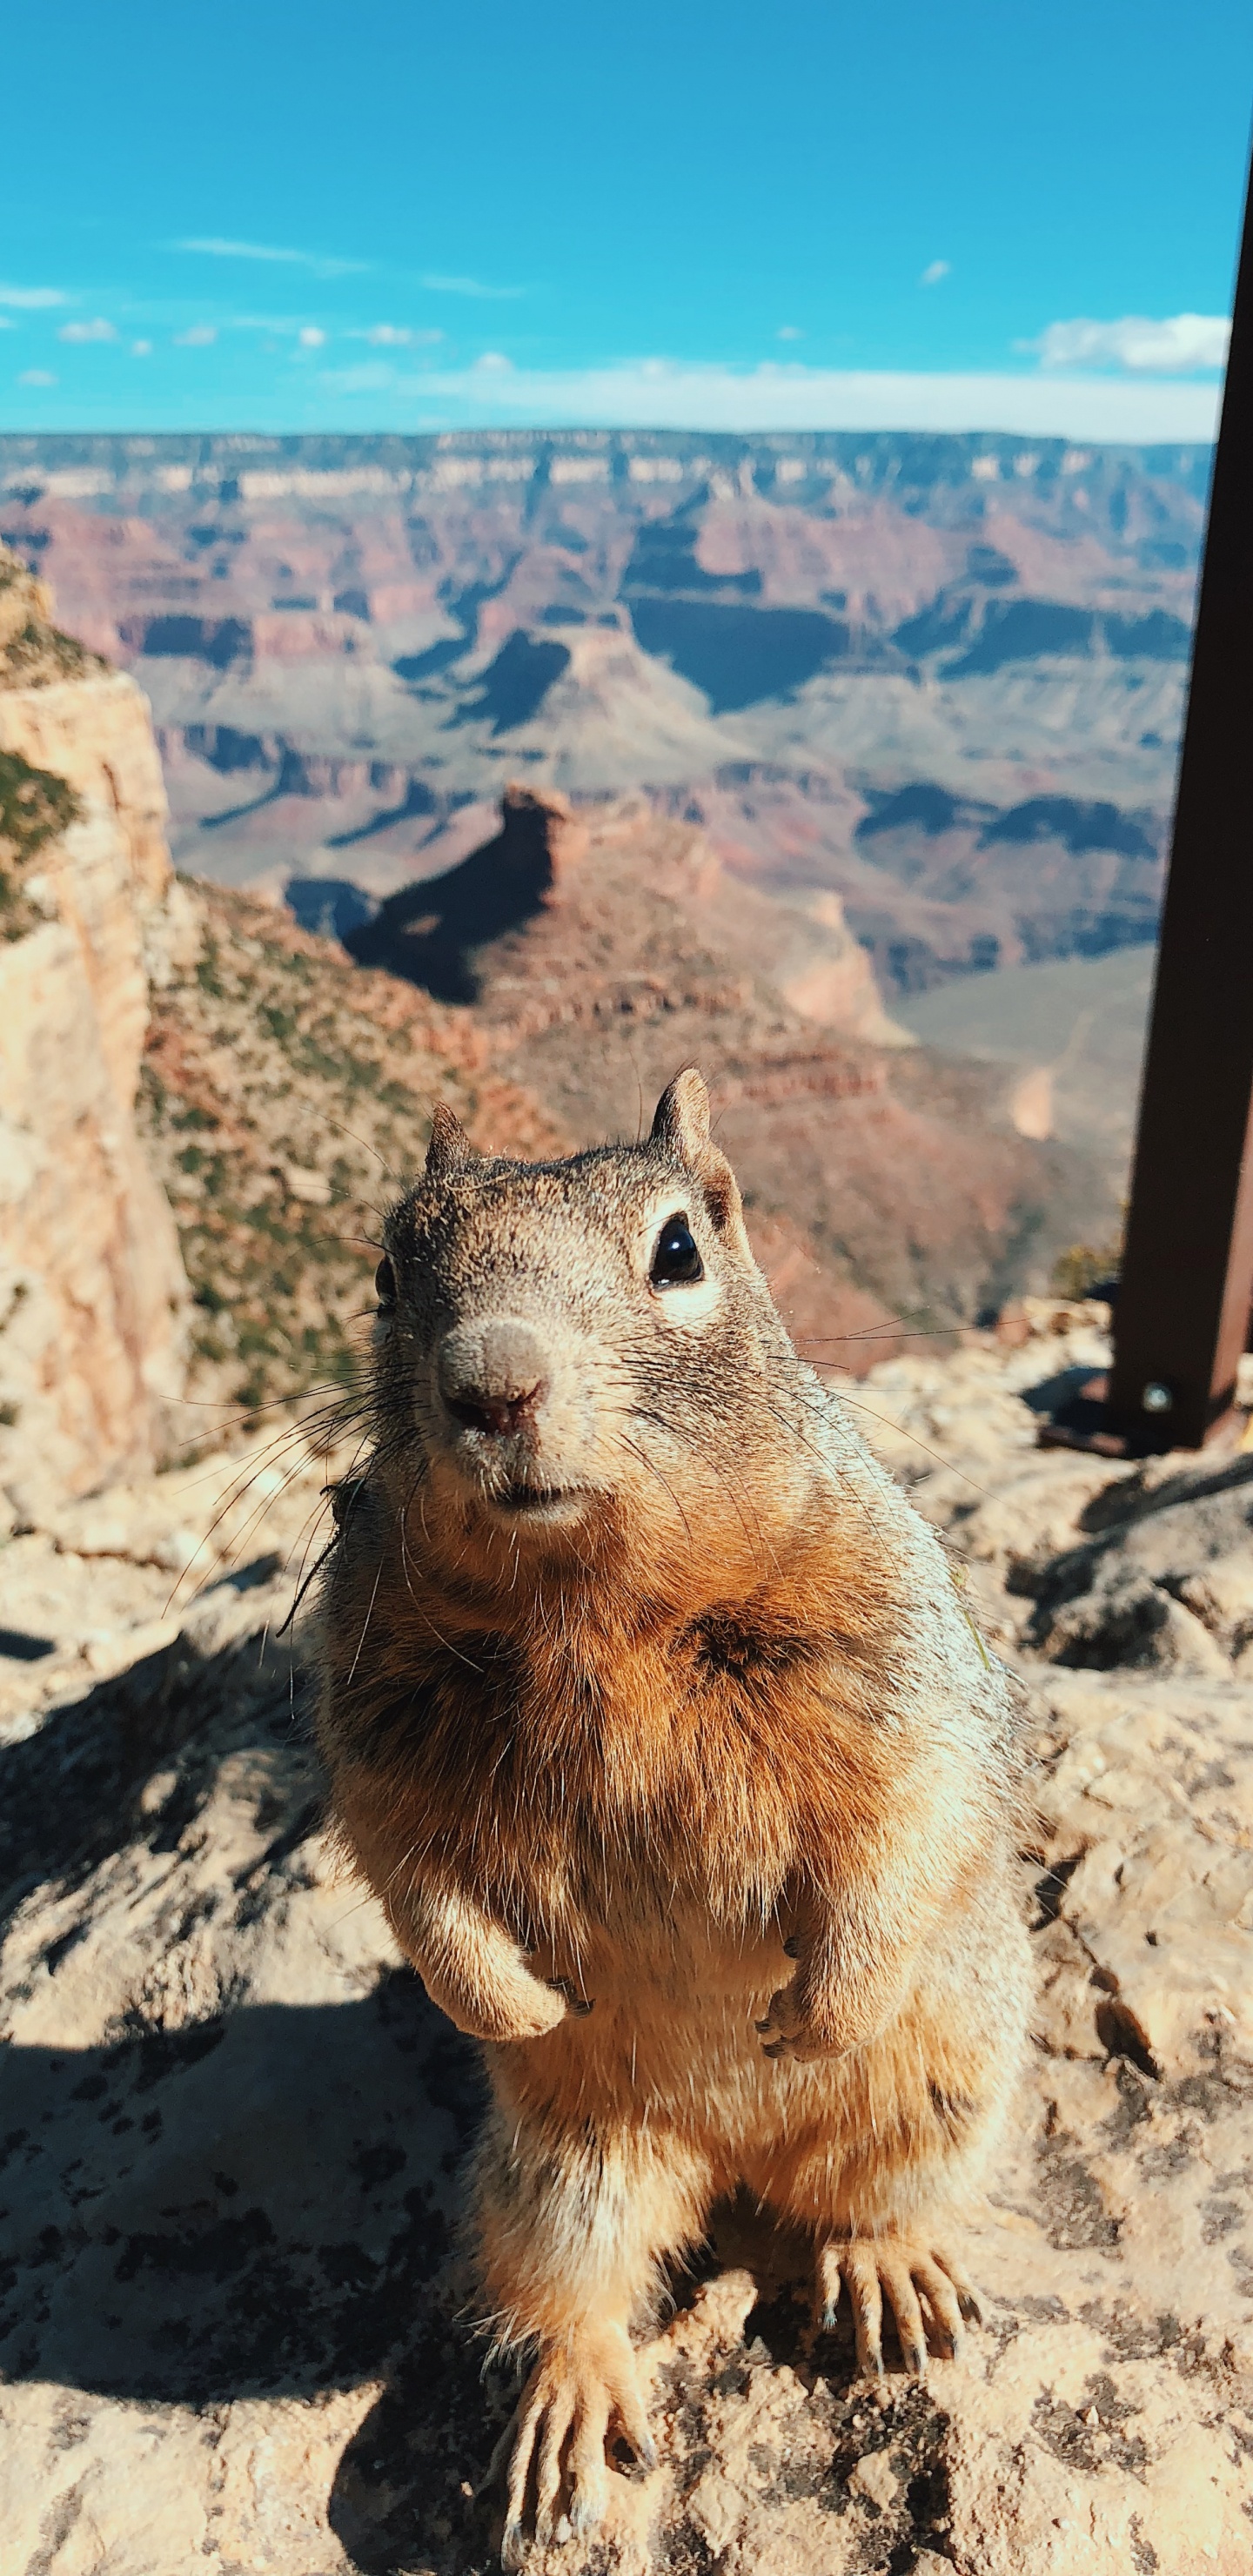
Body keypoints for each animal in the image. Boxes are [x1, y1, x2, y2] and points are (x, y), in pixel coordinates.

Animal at [316, 1068, 1031, 2567]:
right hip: (557, 2171)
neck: (596, 1612)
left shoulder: (893, 1640)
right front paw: (510, 2001)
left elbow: (912, 1803)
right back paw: (571, 2408)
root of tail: (733, 2155)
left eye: (681, 1250)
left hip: (946, 2085)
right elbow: (410, 1873)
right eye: (388, 1272)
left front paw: (822, 2002)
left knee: (867, 2197)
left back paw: (890, 2271)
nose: (492, 1383)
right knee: (567, 2288)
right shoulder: (369, 1705)